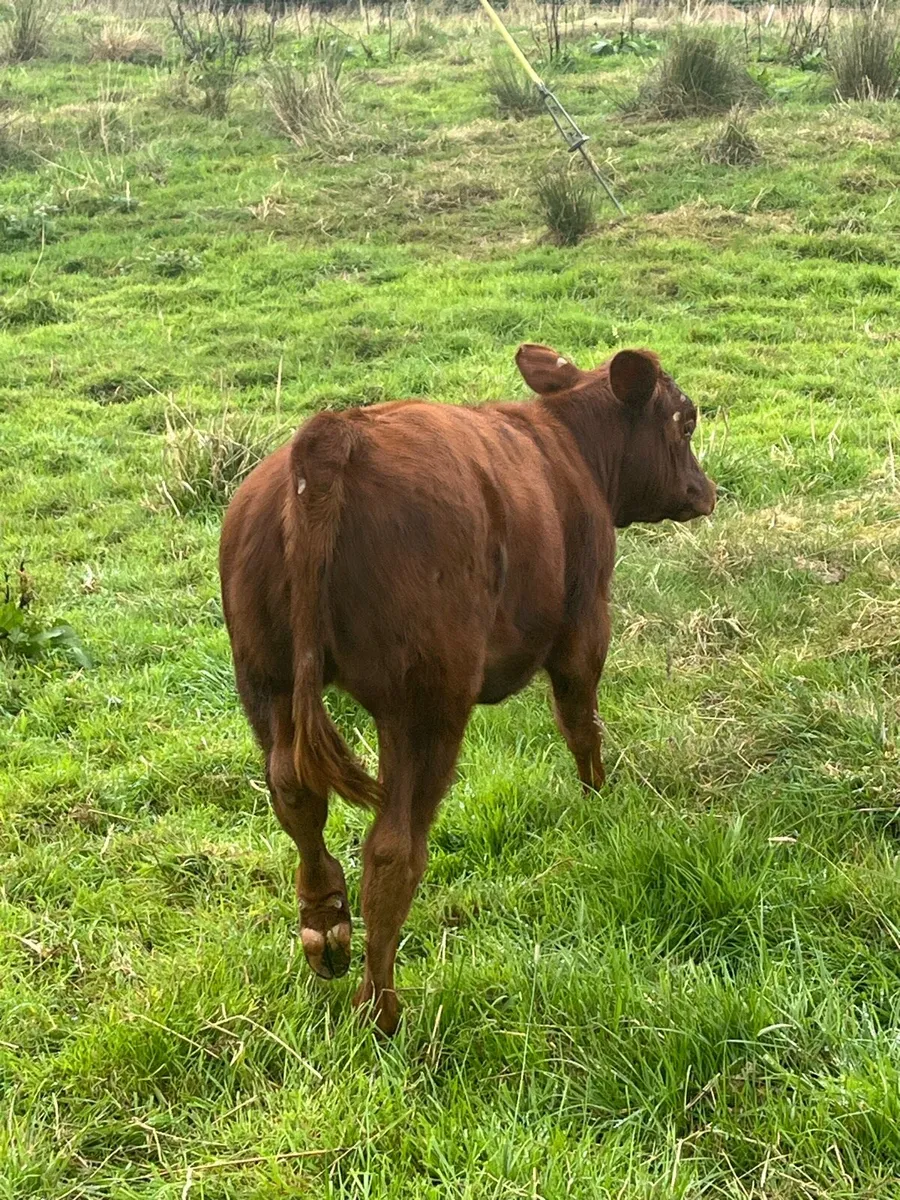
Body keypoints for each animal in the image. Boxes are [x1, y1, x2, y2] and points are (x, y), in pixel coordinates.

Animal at [219, 343, 716, 1034]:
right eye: (685, 420)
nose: (706, 491)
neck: (571, 449)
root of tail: (334, 436)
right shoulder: (585, 623)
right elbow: (581, 722)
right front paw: (597, 796)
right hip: (425, 702)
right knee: (393, 849)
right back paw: (380, 1008)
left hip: (266, 680)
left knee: (295, 794)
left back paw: (326, 928)